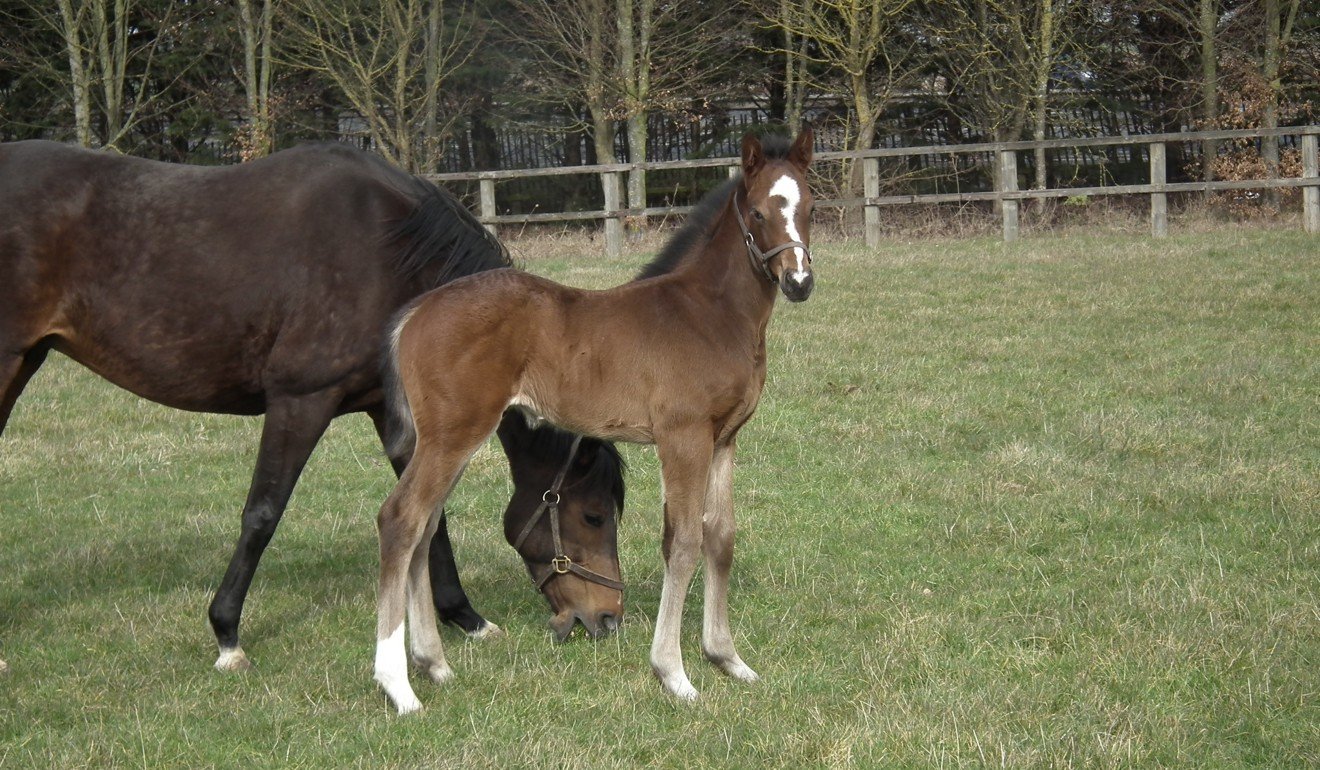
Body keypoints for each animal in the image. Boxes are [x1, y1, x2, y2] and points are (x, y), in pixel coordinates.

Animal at [0, 140, 628, 676]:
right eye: (594, 515)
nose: (607, 618)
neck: (388, 251)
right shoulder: (301, 402)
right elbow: (263, 514)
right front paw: (226, 635)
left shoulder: (392, 415)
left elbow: (428, 519)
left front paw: (466, 619)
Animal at [372, 128, 818, 713]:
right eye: (761, 213)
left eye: (811, 209)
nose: (800, 281)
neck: (708, 314)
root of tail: (415, 314)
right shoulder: (682, 437)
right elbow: (682, 542)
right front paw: (674, 674)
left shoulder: (724, 439)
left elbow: (720, 538)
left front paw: (728, 659)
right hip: (451, 437)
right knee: (401, 520)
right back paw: (397, 685)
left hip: (451, 441)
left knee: (423, 528)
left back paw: (435, 665)